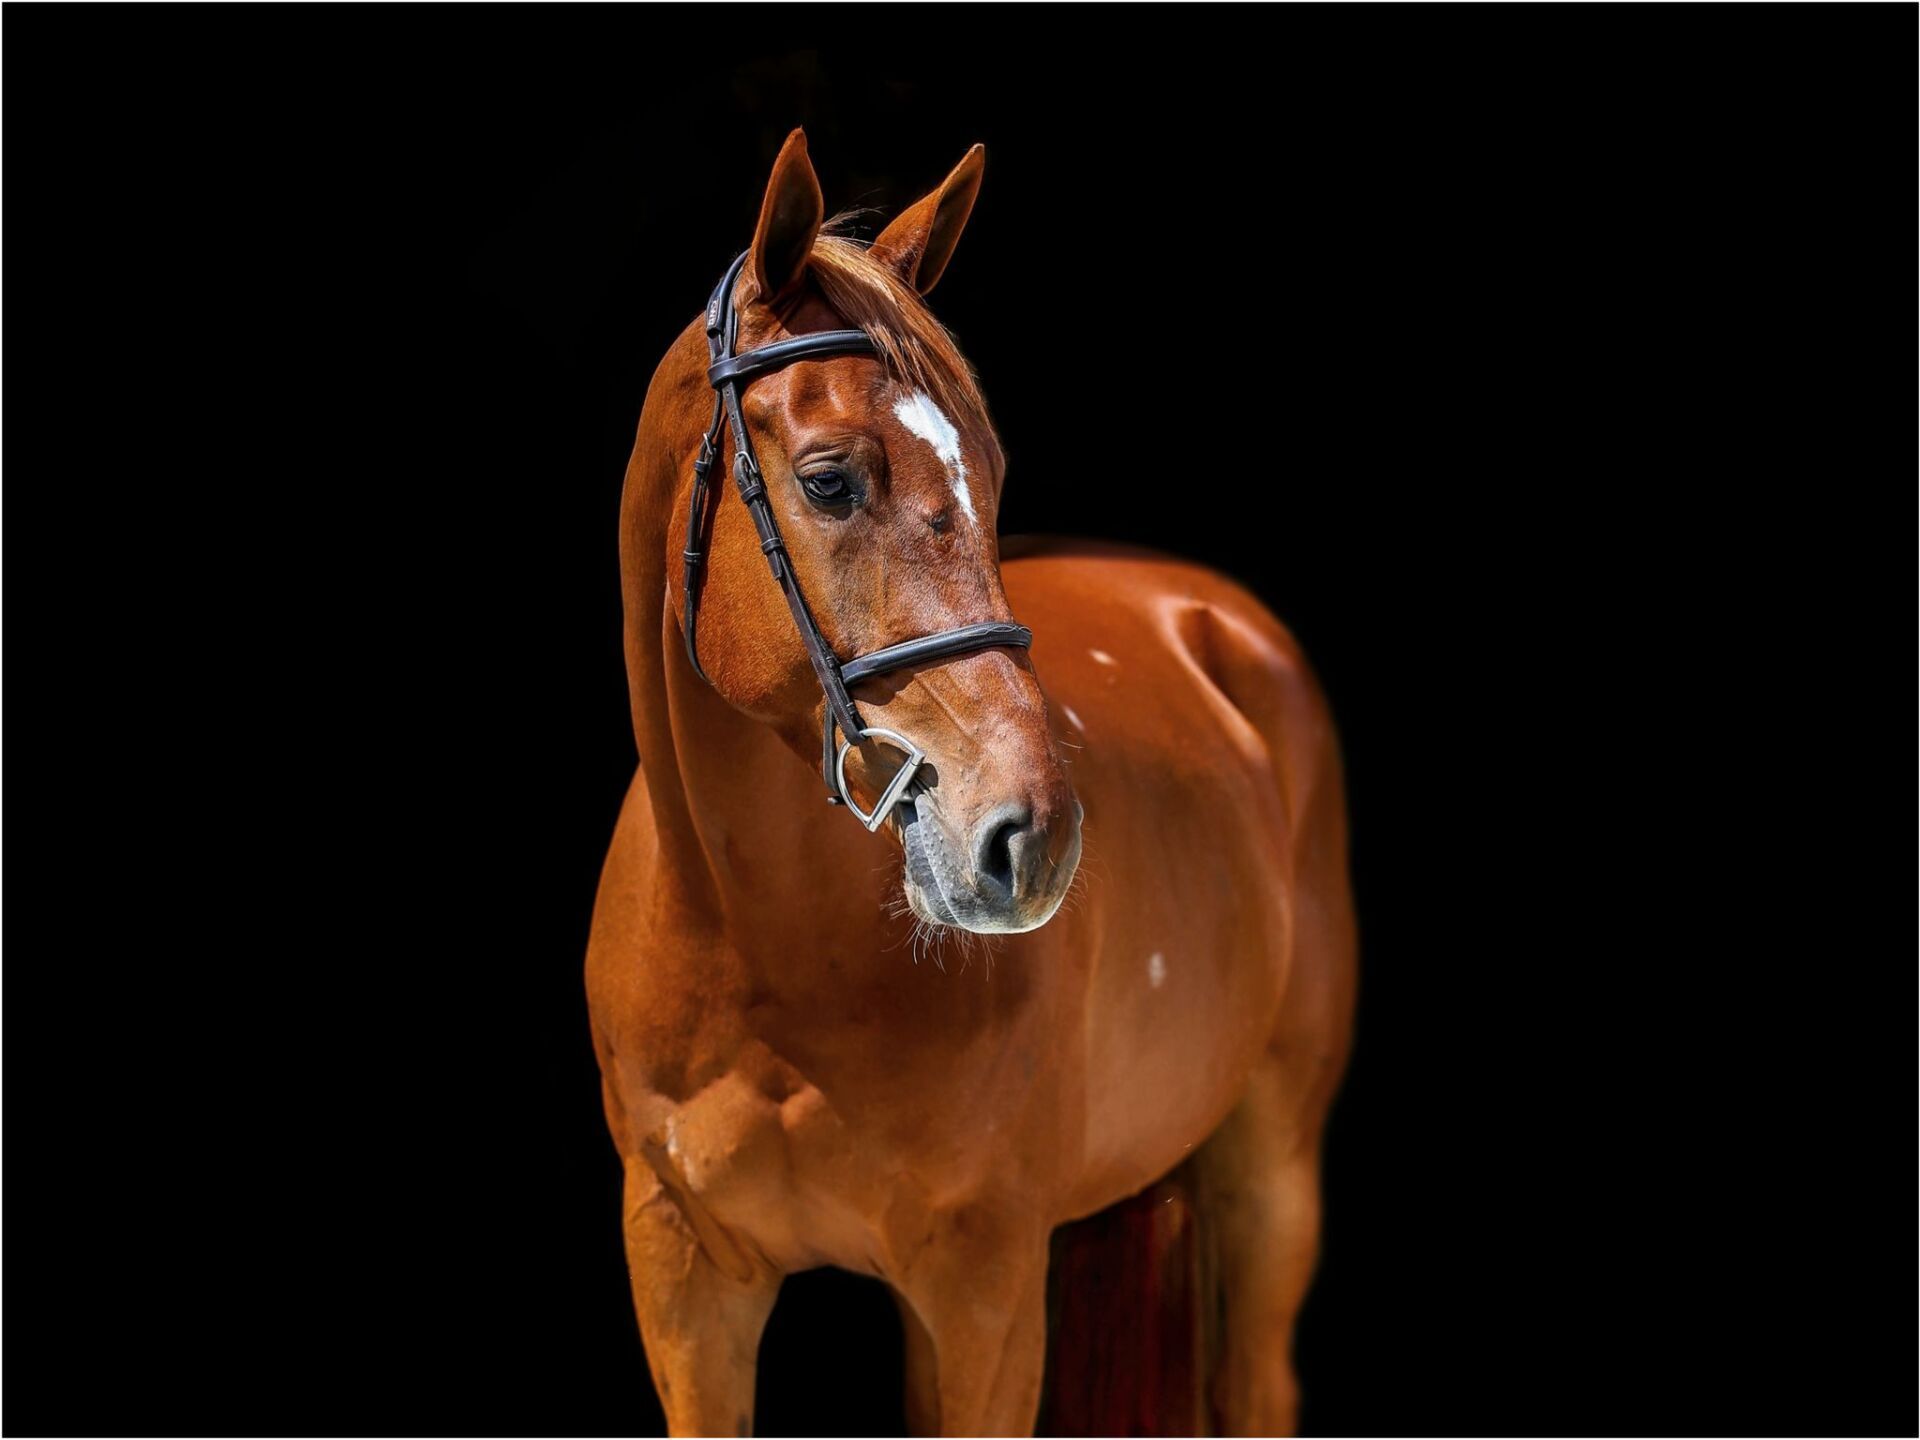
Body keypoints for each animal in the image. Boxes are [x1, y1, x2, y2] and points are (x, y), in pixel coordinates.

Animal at [586, 129, 1356, 1437]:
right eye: (830, 480)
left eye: (991, 470)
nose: (1031, 838)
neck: (761, 954)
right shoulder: (681, 1282)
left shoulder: (989, 1287)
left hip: (1275, 1180)